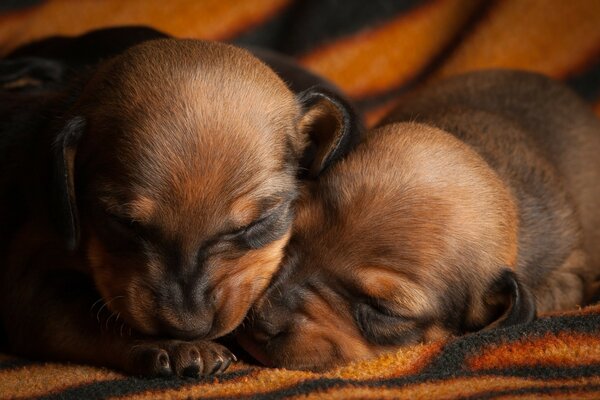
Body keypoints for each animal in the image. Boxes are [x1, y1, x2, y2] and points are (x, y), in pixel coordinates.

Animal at [0, 36, 360, 376]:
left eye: (256, 223)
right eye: (124, 223)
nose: (189, 330)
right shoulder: (26, 289)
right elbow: (92, 317)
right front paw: (174, 347)